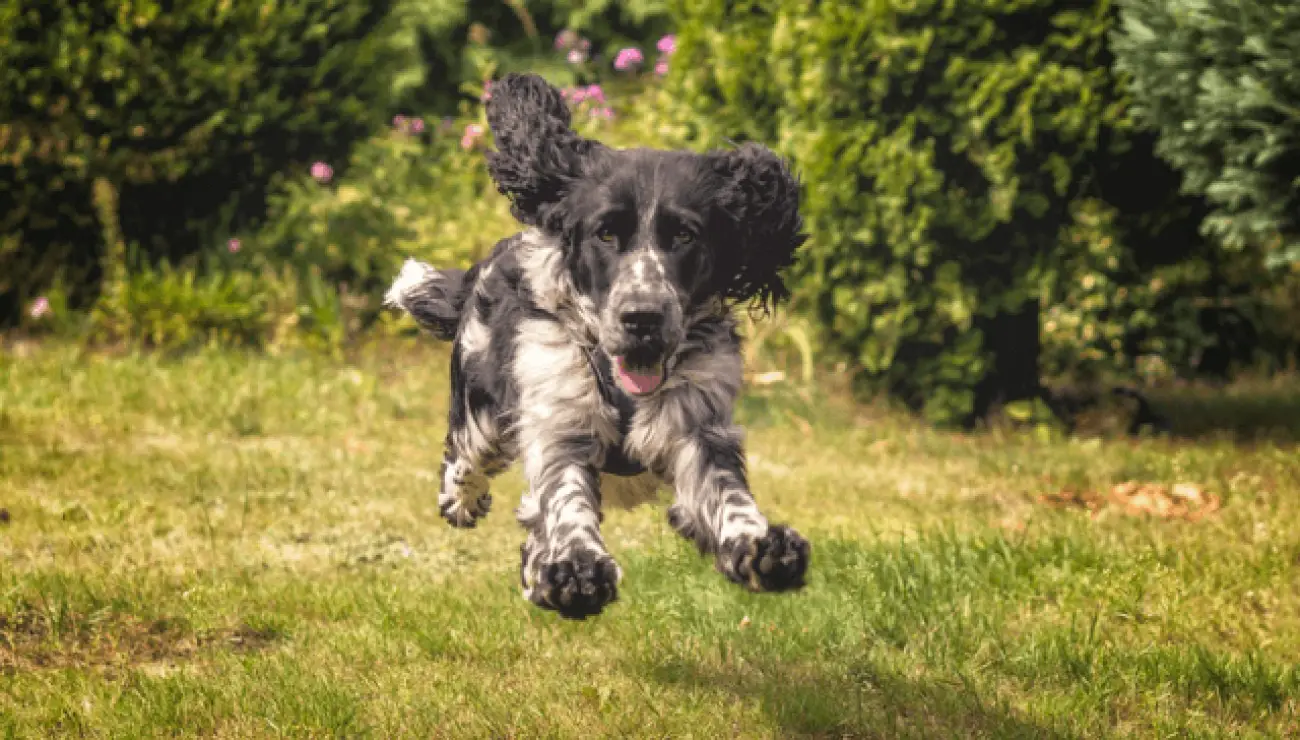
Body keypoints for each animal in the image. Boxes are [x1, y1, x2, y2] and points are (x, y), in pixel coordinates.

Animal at [382, 73, 811, 616]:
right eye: (606, 233)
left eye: (685, 235)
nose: (642, 317)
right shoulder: (560, 420)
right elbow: (564, 498)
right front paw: (575, 569)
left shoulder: (698, 425)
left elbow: (727, 493)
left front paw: (761, 547)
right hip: (482, 409)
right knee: (466, 454)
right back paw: (466, 499)